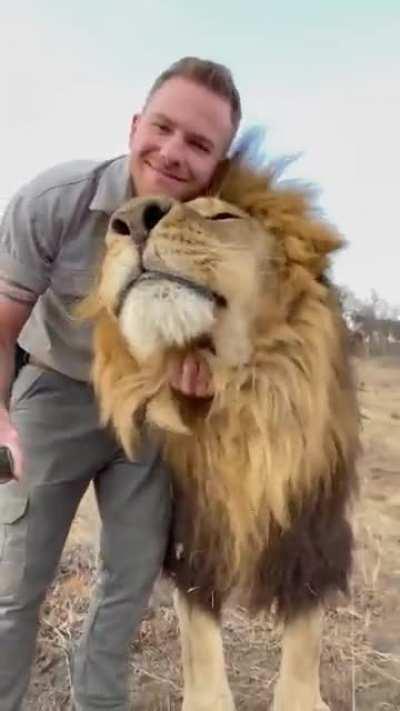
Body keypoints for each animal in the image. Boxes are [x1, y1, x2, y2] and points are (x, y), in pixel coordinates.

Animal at [78, 157, 359, 711]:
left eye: (223, 217)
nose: (132, 218)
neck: (242, 405)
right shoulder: (191, 533)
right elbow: (199, 640)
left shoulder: (312, 528)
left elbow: (305, 641)